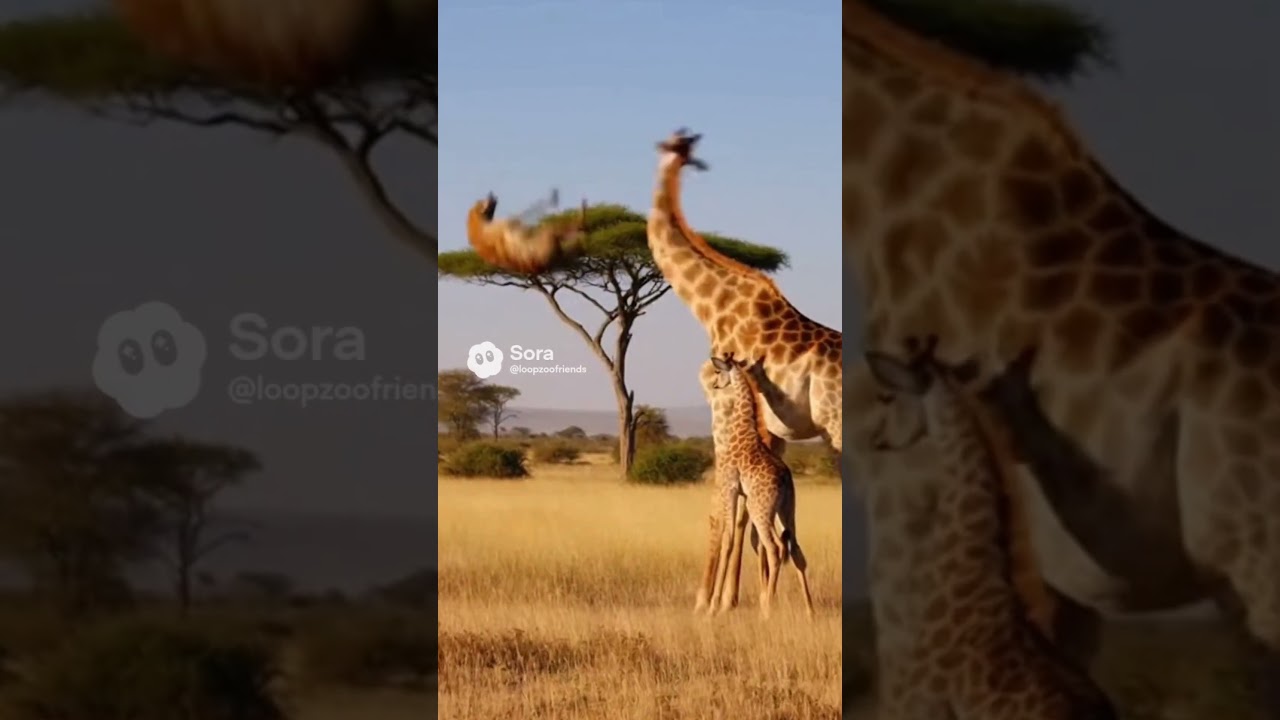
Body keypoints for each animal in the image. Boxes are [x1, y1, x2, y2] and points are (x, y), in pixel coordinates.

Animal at [703, 353, 814, 620]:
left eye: (719, 371)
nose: (716, 385)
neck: (743, 428)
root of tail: (784, 479)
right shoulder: (742, 493)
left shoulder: (730, 487)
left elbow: (728, 539)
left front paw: (713, 608)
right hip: (787, 510)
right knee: (795, 549)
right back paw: (810, 611)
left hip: (760, 509)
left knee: (775, 548)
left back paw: (767, 608)